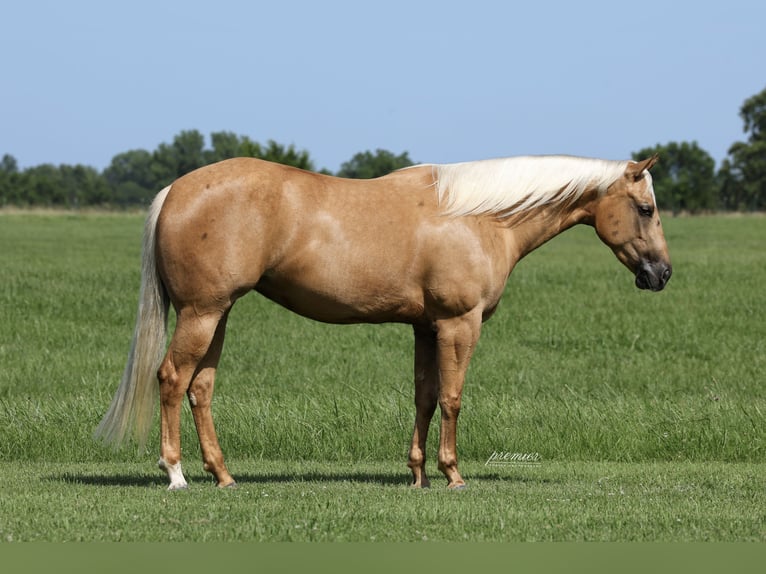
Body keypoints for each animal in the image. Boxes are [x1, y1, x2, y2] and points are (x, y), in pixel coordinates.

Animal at [95, 153, 671, 490]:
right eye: (645, 209)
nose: (662, 274)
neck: (478, 216)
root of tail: (176, 190)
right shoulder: (460, 325)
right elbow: (453, 397)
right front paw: (453, 474)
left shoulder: (426, 327)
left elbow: (424, 396)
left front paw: (418, 475)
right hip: (204, 312)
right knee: (172, 379)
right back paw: (175, 473)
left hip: (218, 314)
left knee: (201, 388)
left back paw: (223, 475)